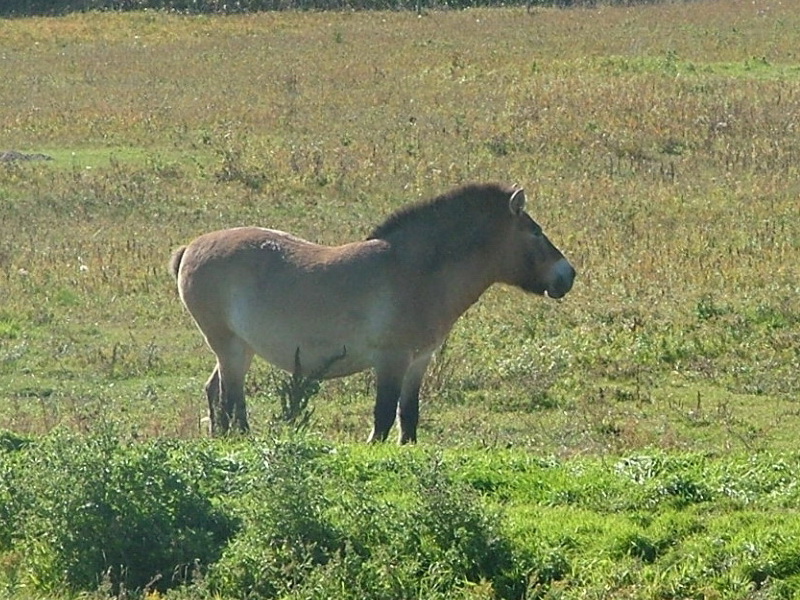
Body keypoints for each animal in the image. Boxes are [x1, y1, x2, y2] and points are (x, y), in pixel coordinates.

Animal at [172, 185, 580, 442]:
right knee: (230, 398)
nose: (568, 275)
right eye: (536, 232)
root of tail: (190, 247)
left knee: (216, 393)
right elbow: (383, 417)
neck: (416, 273)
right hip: (229, 346)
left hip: (241, 348)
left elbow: (408, 417)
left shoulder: (419, 361)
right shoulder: (391, 360)